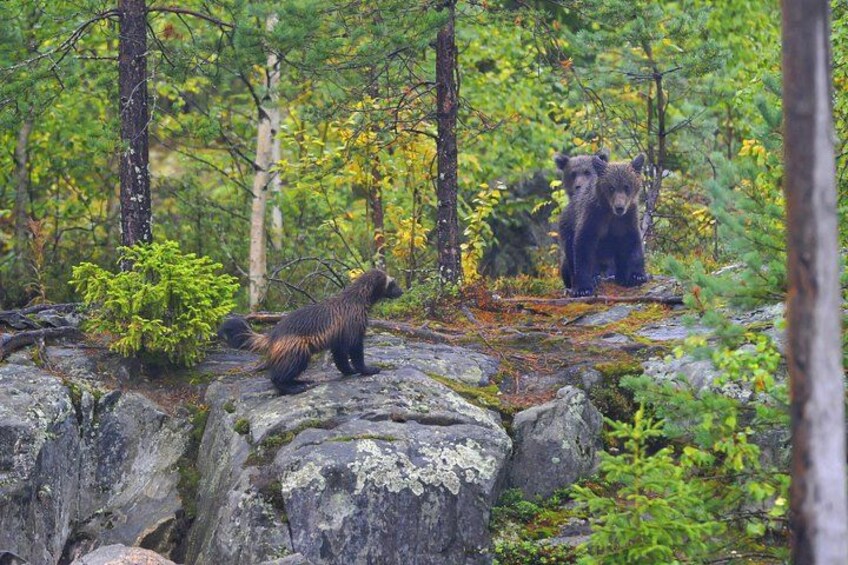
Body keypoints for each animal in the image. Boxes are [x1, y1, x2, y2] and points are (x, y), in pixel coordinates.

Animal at [559, 153, 648, 296]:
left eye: (627, 186)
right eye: (611, 187)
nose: (619, 207)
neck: (610, 213)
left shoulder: (628, 219)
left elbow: (632, 242)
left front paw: (637, 276)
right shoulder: (593, 217)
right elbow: (583, 248)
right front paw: (583, 288)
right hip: (567, 229)